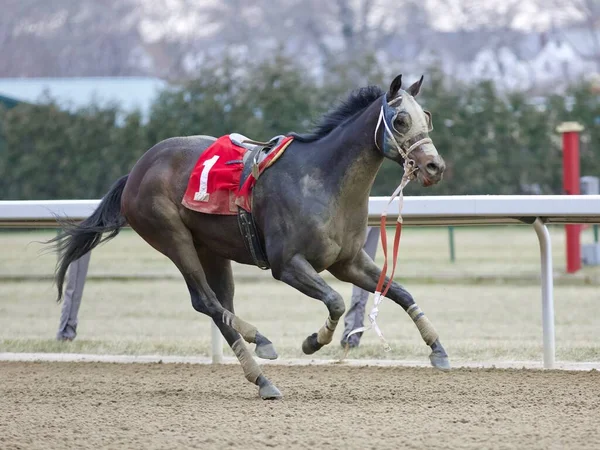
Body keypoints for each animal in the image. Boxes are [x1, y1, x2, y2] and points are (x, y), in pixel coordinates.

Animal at [48, 74, 450, 400]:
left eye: (427, 117)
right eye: (400, 119)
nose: (435, 166)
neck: (323, 180)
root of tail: (135, 172)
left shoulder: (348, 261)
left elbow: (399, 291)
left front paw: (438, 349)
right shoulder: (287, 265)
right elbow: (335, 301)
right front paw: (312, 341)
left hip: (211, 249)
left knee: (219, 305)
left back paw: (261, 350)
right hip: (172, 238)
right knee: (208, 302)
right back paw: (263, 371)